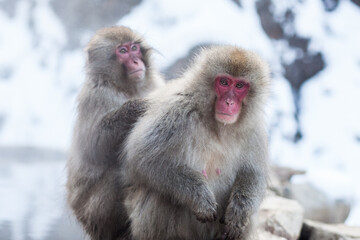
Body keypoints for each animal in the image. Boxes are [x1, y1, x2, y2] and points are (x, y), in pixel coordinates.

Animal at [66, 26, 165, 240]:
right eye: (123, 51)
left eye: (134, 48)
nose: (135, 60)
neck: (125, 87)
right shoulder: (95, 97)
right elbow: (94, 146)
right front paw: (135, 108)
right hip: (93, 212)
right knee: (116, 172)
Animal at [121, 45, 270, 240]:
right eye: (224, 82)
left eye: (239, 86)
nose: (229, 102)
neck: (218, 126)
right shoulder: (177, 111)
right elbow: (144, 157)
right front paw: (200, 197)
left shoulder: (255, 128)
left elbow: (253, 172)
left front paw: (241, 209)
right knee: (160, 193)